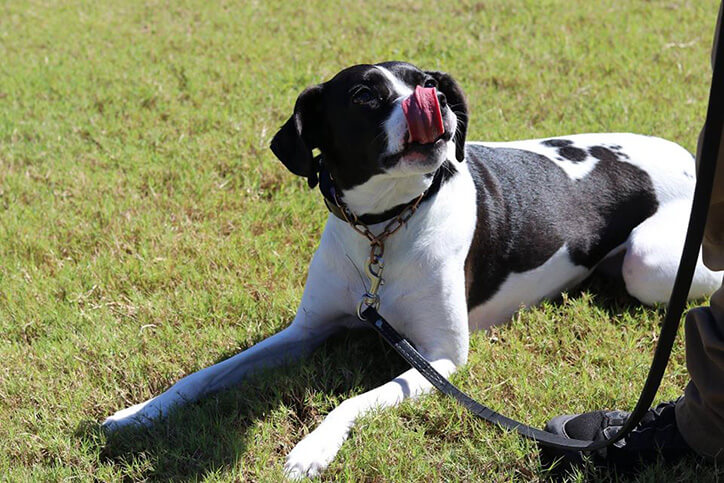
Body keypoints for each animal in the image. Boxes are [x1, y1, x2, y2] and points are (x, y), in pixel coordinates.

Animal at [102, 62, 720, 478]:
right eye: (364, 95)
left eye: (428, 82)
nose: (436, 101)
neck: (384, 230)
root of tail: (689, 156)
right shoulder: (305, 332)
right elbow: (207, 374)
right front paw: (141, 413)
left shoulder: (439, 359)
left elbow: (352, 401)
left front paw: (311, 448)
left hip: (652, 264)